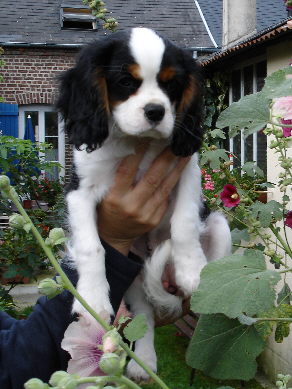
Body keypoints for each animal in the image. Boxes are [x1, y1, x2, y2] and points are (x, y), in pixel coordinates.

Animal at [57, 27, 230, 378]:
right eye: (126, 82)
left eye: (171, 84)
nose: (156, 111)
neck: (138, 142)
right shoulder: (80, 190)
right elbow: (91, 246)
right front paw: (92, 297)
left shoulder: (187, 171)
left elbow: (184, 224)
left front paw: (192, 269)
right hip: (135, 274)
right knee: (144, 316)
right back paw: (145, 362)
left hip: (219, 225)